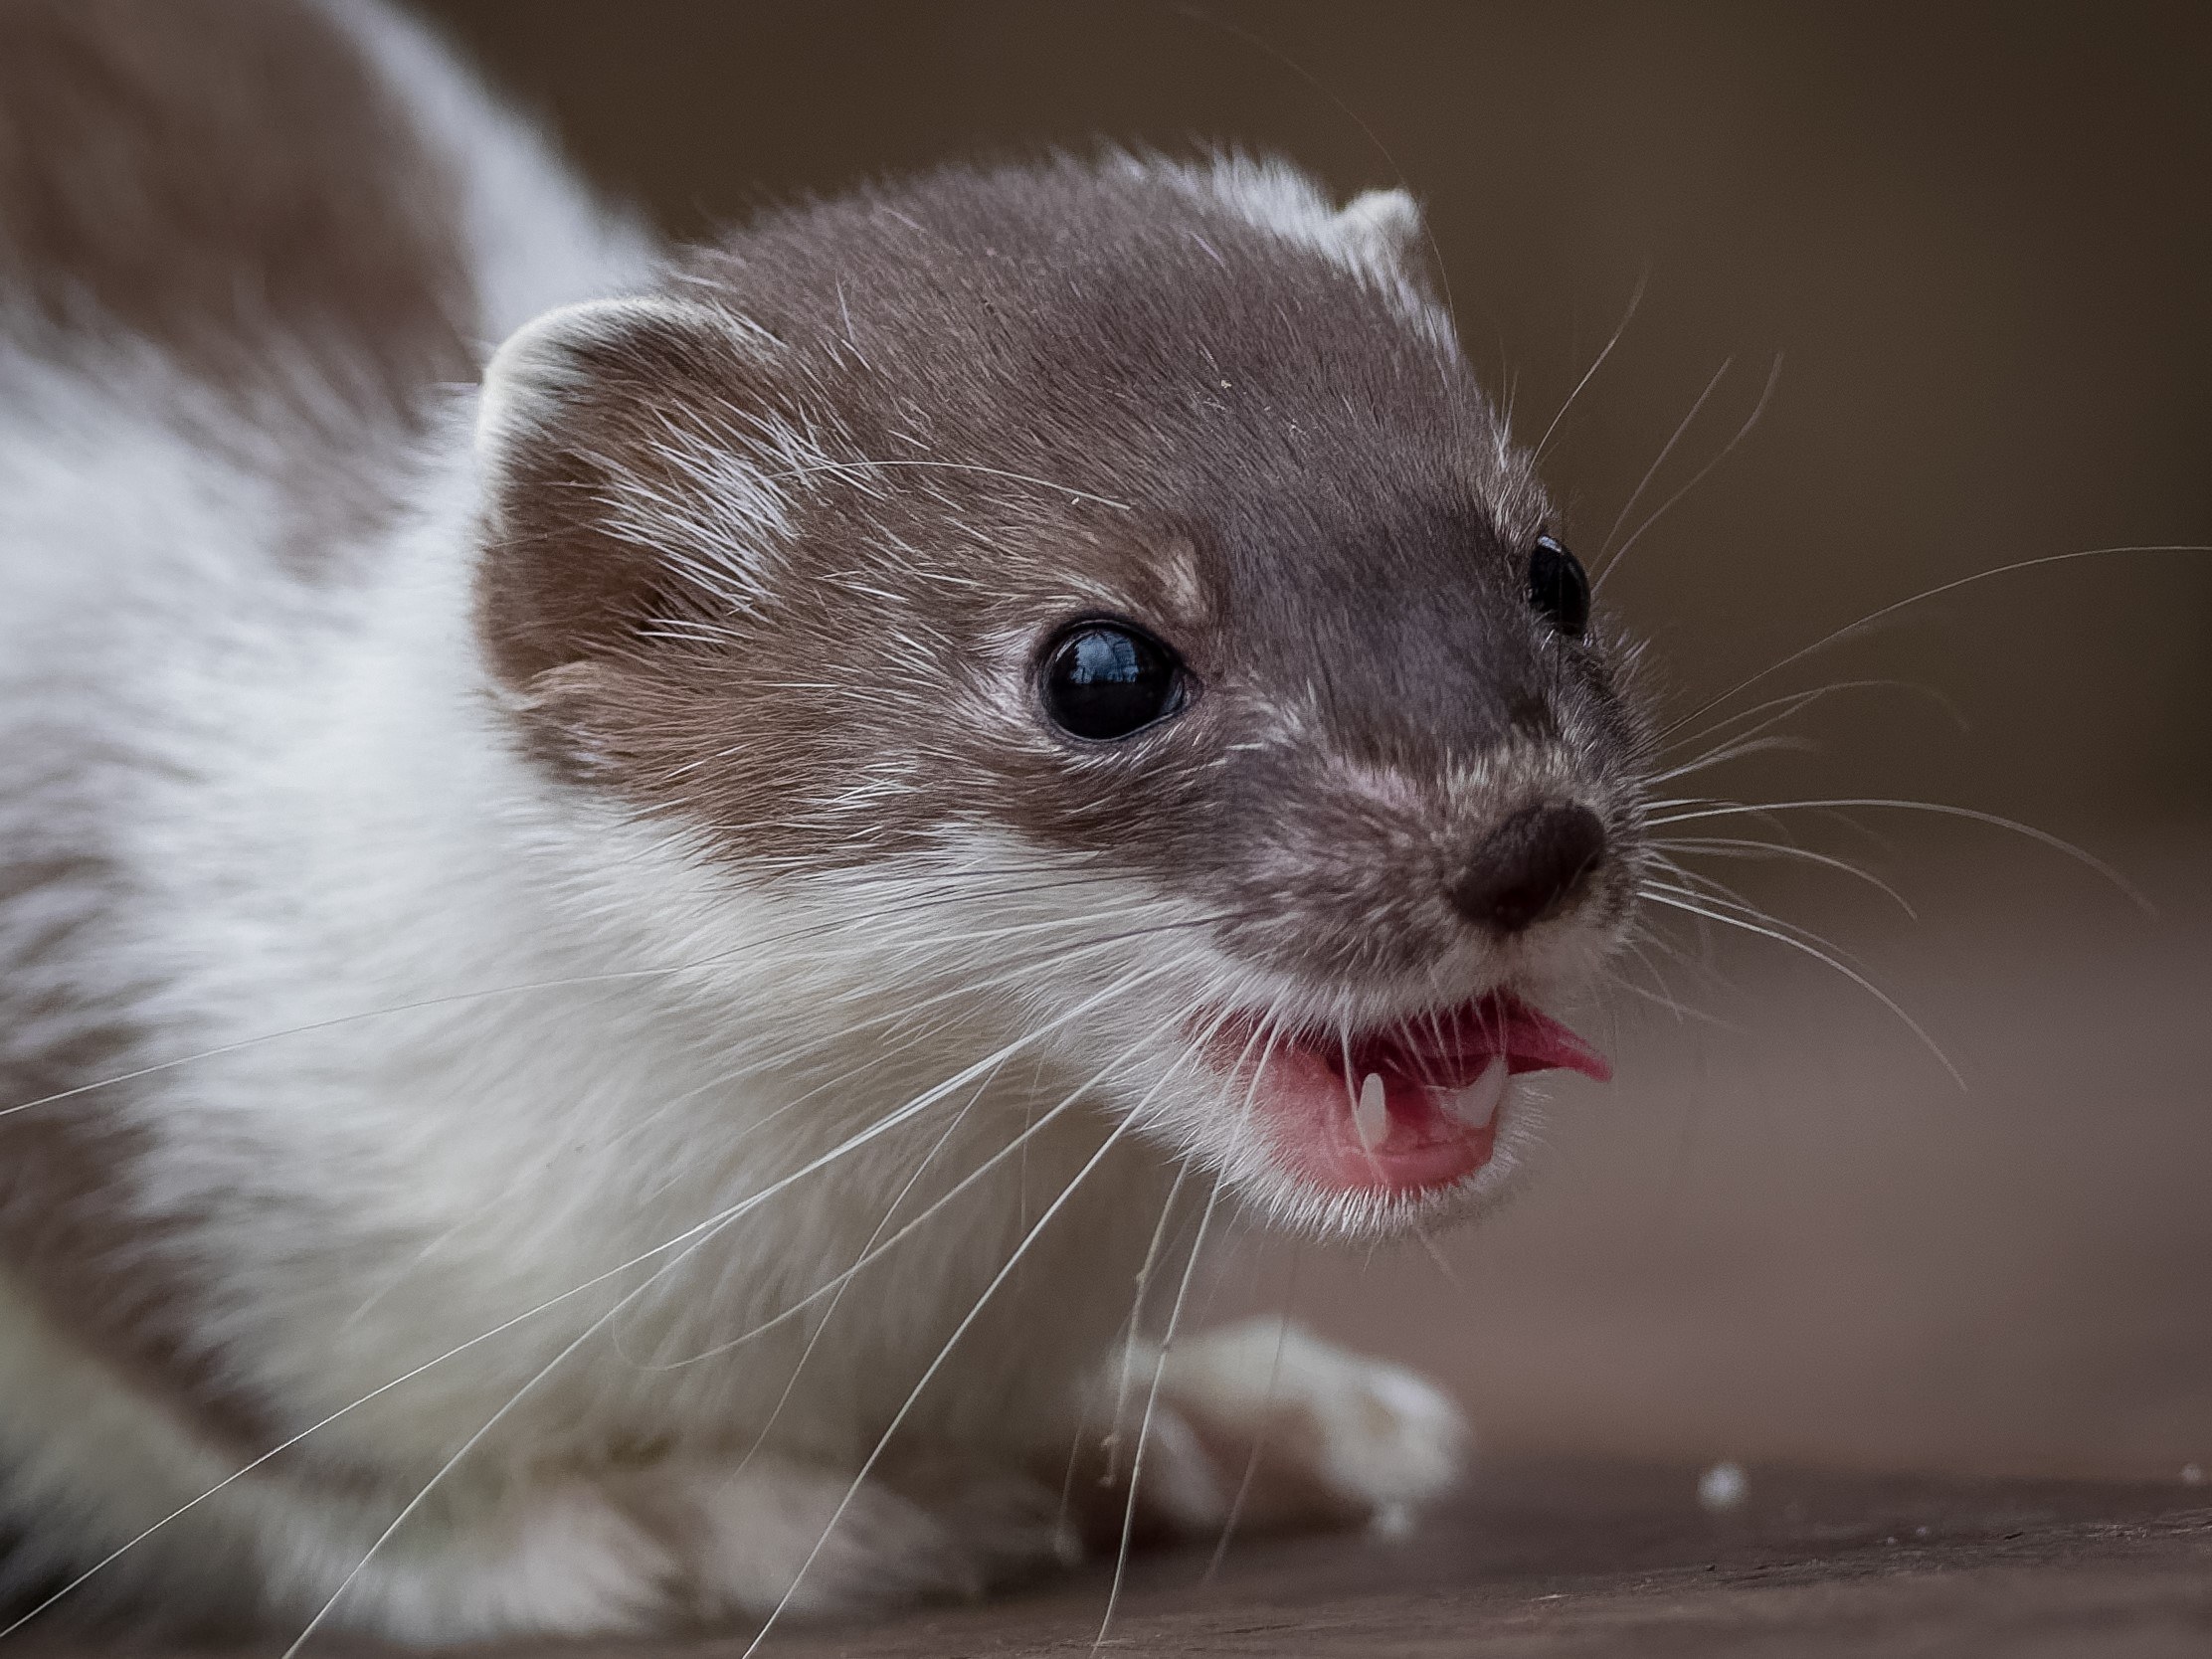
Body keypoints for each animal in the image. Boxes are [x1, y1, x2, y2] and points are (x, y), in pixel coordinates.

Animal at [0, 0, 1654, 1636]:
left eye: (1553, 568)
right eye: (1102, 667)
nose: (1528, 838)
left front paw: (1206, 1411)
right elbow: (273, 1460)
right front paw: (683, 1517)